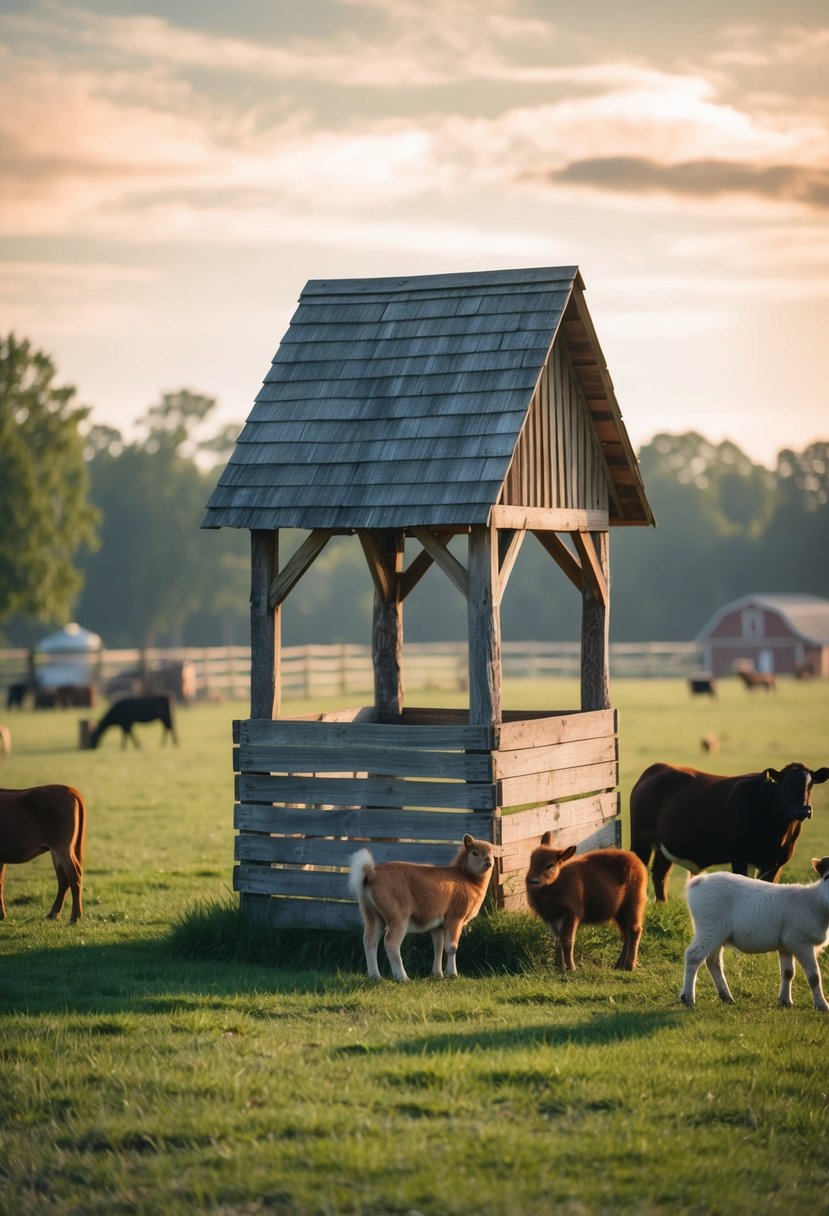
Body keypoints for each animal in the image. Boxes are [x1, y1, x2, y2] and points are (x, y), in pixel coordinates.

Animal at [0, 787, 86, 919]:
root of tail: (69, 789)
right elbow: (0, 881)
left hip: (62, 847)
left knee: (74, 875)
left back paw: (74, 917)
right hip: (57, 851)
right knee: (63, 879)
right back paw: (53, 913)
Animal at [347, 831, 493, 982]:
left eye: (492, 852)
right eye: (475, 852)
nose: (489, 862)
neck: (469, 879)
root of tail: (372, 873)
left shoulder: (438, 925)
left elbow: (438, 947)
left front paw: (437, 974)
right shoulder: (455, 918)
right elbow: (451, 947)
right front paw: (452, 974)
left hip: (372, 915)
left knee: (369, 942)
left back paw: (375, 977)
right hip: (398, 917)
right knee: (391, 943)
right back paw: (403, 978)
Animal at [522, 841, 646, 972]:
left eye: (549, 865)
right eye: (531, 862)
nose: (531, 881)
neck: (556, 883)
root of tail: (634, 858)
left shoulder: (571, 915)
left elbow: (567, 941)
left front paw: (571, 968)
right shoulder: (552, 919)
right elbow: (558, 941)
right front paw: (559, 967)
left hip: (633, 906)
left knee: (634, 931)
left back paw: (629, 965)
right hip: (619, 914)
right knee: (626, 934)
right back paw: (619, 964)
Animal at [627, 758, 821, 904]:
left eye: (810, 784)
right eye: (786, 784)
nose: (803, 810)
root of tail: (657, 767)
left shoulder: (776, 862)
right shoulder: (740, 856)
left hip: (665, 846)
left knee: (660, 874)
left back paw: (663, 905)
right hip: (641, 841)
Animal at [675, 851, 826, 1011]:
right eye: (826, 876)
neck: (814, 901)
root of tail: (698, 881)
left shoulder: (786, 944)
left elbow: (787, 973)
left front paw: (785, 1001)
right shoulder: (800, 941)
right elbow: (814, 977)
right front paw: (822, 1005)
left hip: (717, 933)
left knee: (713, 961)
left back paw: (726, 997)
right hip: (709, 927)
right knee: (693, 956)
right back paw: (688, 998)